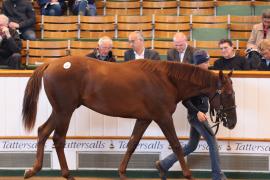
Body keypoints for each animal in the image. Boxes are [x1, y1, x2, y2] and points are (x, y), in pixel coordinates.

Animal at [21, 56, 236, 180]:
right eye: (227, 94)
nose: (232, 122)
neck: (167, 80)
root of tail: (51, 63)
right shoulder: (163, 117)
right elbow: (175, 144)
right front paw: (188, 175)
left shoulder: (144, 119)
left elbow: (132, 143)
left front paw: (123, 173)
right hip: (65, 111)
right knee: (58, 139)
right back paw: (65, 174)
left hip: (60, 111)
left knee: (43, 131)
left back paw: (32, 170)